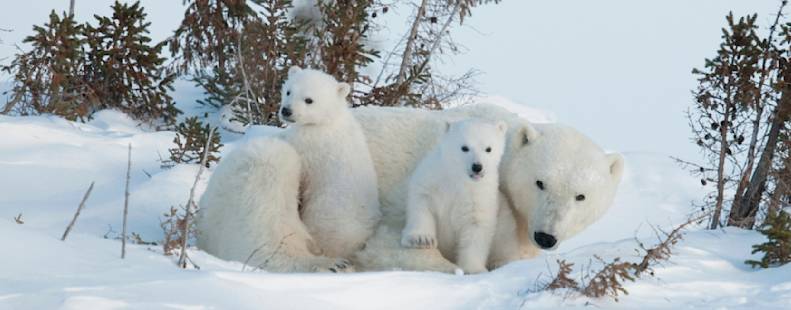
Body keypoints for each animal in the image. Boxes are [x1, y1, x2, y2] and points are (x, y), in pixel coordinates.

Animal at [196, 101, 624, 272]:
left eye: (581, 195)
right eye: (540, 182)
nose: (546, 236)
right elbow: (388, 244)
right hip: (256, 176)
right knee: (268, 177)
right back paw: (323, 264)